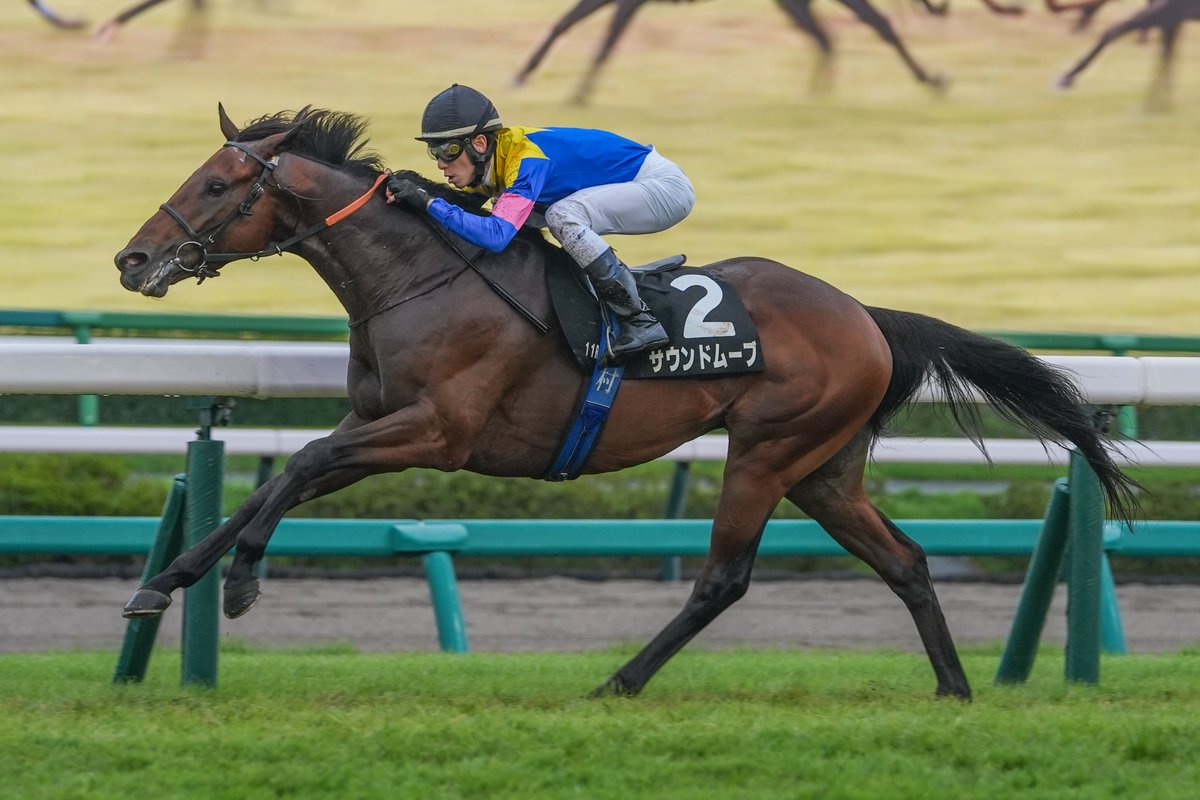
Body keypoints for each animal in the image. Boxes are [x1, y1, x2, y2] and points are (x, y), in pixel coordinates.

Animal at [114, 105, 1139, 700]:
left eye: (216, 183)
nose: (131, 258)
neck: (421, 275)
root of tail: (866, 316)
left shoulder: (434, 432)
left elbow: (299, 466)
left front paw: (240, 583)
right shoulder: (376, 422)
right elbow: (274, 480)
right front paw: (165, 583)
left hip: (767, 451)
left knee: (724, 579)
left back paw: (620, 682)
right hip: (824, 469)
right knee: (907, 562)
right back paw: (955, 692)